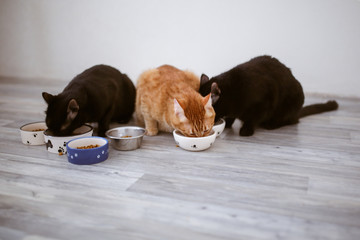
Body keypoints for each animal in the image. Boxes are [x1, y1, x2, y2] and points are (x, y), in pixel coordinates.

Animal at [200, 55, 338, 136]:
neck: (233, 91)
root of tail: (297, 113)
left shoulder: (264, 102)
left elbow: (252, 119)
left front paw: (246, 130)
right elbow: (232, 116)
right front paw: (229, 123)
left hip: (290, 104)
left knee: (290, 121)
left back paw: (271, 124)